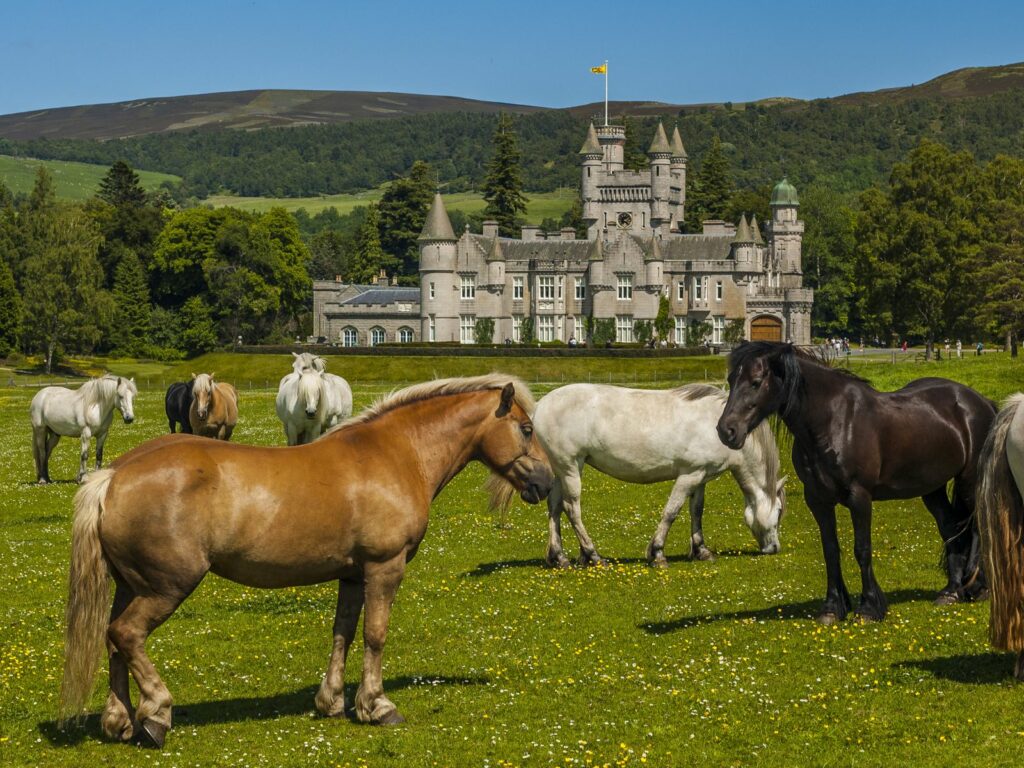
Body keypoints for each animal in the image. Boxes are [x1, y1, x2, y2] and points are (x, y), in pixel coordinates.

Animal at [59, 376, 557, 749]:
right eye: (527, 429)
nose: (547, 482)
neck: (397, 452)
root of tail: (114, 475)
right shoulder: (384, 567)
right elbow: (375, 635)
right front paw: (377, 705)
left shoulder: (352, 575)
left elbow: (343, 632)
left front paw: (332, 701)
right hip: (167, 587)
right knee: (127, 634)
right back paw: (156, 715)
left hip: (131, 585)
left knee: (113, 642)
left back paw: (120, 721)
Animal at [532, 382, 786, 569]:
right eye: (779, 511)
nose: (774, 548)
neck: (719, 426)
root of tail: (540, 405)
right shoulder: (688, 476)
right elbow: (671, 512)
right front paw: (657, 554)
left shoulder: (700, 477)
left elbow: (697, 511)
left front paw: (701, 550)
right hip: (570, 468)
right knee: (572, 509)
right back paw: (593, 554)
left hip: (561, 470)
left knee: (555, 507)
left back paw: (559, 557)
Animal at [716, 342, 995, 626]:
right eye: (731, 379)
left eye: (756, 382)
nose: (727, 431)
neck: (832, 420)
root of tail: (981, 403)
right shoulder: (817, 500)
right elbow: (830, 550)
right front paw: (832, 607)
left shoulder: (859, 497)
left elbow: (862, 549)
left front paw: (869, 608)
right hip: (932, 489)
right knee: (951, 528)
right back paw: (951, 591)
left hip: (969, 483)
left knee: (978, 527)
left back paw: (977, 588)